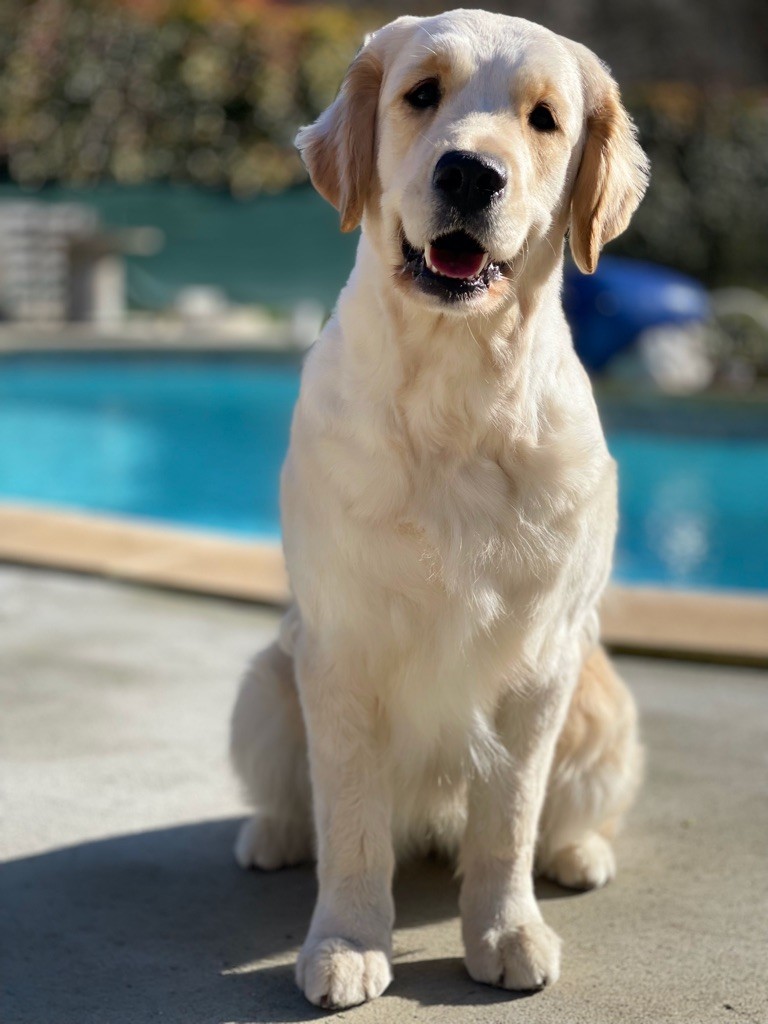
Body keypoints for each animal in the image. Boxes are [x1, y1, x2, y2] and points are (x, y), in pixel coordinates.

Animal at [233, 9, 651, 1007]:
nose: (470, 173)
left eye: (544, 119)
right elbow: (350, 820)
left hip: (606, 705)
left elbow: (508, 820)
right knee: (296, 796)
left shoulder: (542, 660)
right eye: (421, 93)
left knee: (564, 814)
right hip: (264, 684)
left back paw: (578, 855)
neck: (459, 387)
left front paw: (504, 932)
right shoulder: (340, 647)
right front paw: (347, 941)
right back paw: (273, 836)